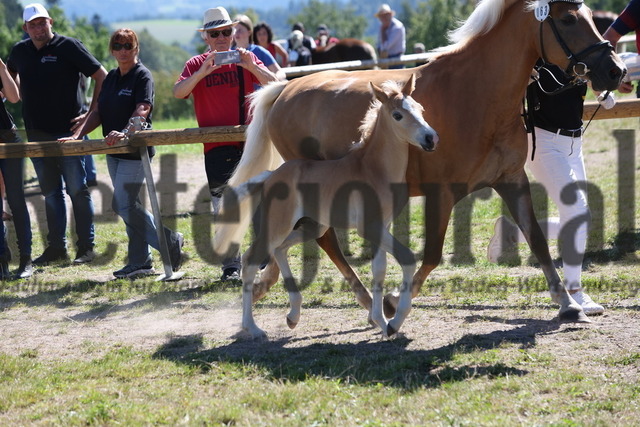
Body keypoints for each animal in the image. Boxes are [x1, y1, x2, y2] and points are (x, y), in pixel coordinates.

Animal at [216, 75, 440, 340]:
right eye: (398, 115)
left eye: (420, 109)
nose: (430, 138)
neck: (373, 168)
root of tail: (270, 175)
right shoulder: (370, 227)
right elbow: (406, 259)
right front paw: (394, 322)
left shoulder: (381, 227)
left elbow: (379, 270)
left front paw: (381, 321)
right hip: (278, 225)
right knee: (251, 259)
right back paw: (252, 327)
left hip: (315, 226)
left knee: (280, 249)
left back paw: (293, 316)